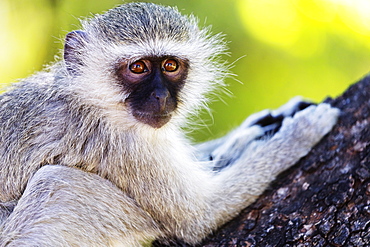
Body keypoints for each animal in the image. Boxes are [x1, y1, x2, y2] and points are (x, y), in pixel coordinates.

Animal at [0, 2, 342, 247]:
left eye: (170, 65)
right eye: (138, 68)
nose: (161, 96)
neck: (90, 97)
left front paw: (261, 124)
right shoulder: (119, 141)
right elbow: (200, 216)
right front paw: (300, 133)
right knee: (59, 181)